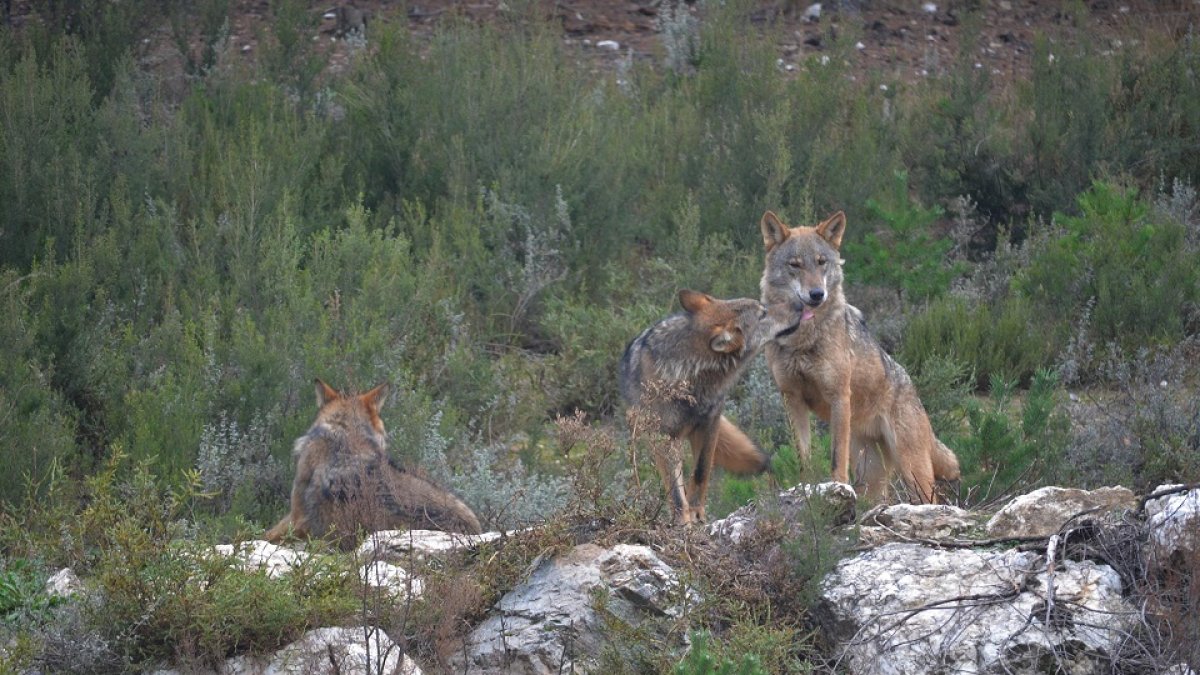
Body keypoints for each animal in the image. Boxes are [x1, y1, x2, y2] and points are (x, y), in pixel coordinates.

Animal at [619, 289, 791, 523]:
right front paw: (683, 521)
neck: (688, 376)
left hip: (741, 448)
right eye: (762, 314)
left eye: (763, 308)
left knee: (766, 465)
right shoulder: (664, 438)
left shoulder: (710, 423)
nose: (800, 305)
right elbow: (675, 490)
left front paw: (696, 511)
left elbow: (701, 471)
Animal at [758, 210, 960, 503]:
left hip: (912, 470)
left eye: (821, 263)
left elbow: (836, 457)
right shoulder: (792, 399)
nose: (817, 294)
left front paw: (837, 488)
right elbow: (803, 458)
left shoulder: (839, 396)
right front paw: (805, 490)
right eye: (795, 265)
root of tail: (912, 387)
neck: (803, 339)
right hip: (871, 476)